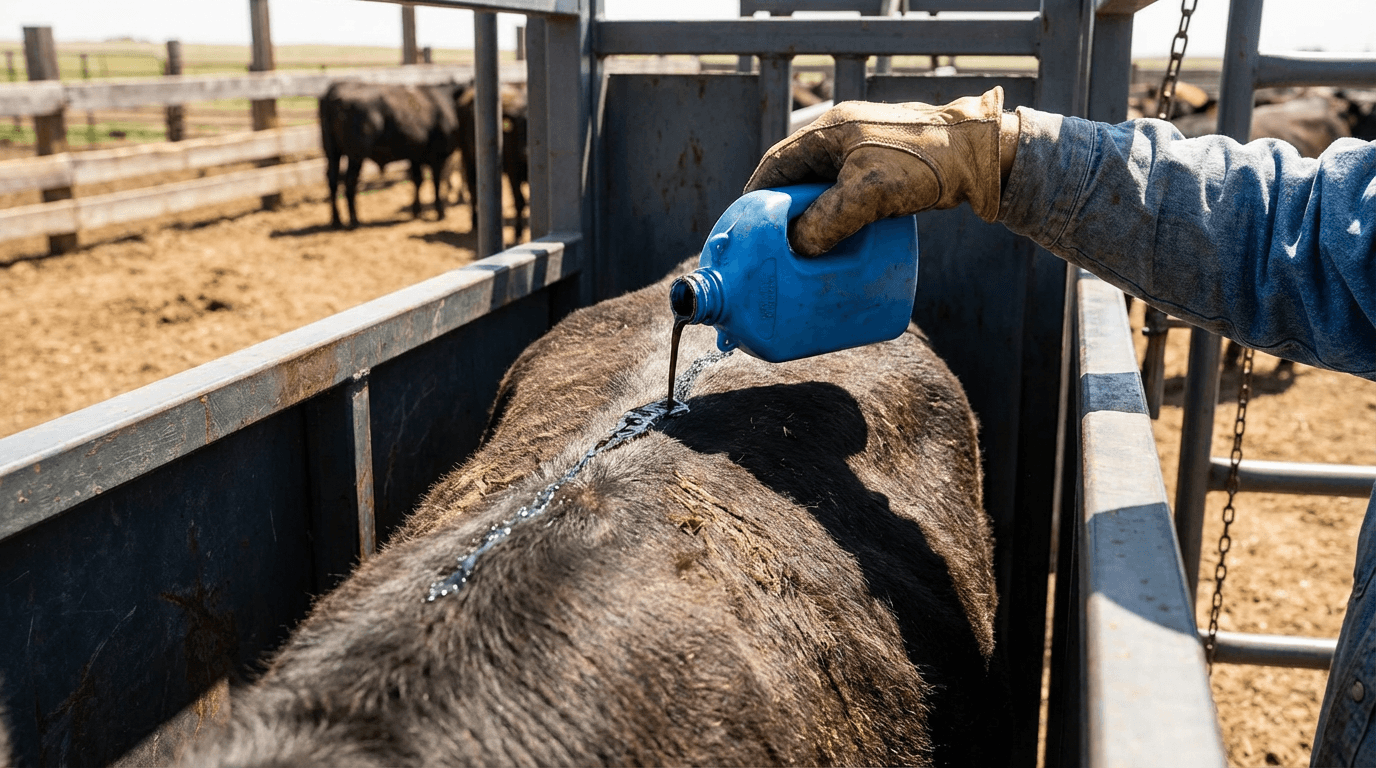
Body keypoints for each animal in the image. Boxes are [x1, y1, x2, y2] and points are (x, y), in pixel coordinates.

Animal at [320, 81, 465, 229]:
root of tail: (338, 87)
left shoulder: (415, 156)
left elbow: (418, 180)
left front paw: (416, 210)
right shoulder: (437, 157)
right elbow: (436, 183)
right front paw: (440, 212)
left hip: (332, 152)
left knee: (332, 181)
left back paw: (336, 220)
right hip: (355, 155)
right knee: (350, 182)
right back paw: (354, 220)